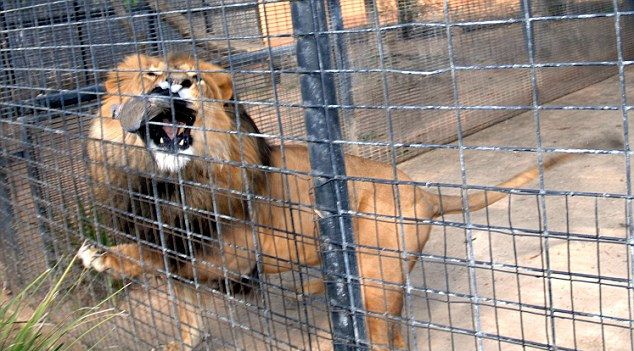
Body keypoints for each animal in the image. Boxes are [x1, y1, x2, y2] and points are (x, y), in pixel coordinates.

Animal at [78, 53, 568, 350]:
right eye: (150, 74)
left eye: (194, 78)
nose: (175, 83)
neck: (164, 182)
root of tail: (423, 190)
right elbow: (184, 308)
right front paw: (183, 339)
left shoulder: (232, 252)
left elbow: (155, 256)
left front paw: (102, 255)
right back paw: (311, 288)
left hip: (378, 273)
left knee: (387, 332)